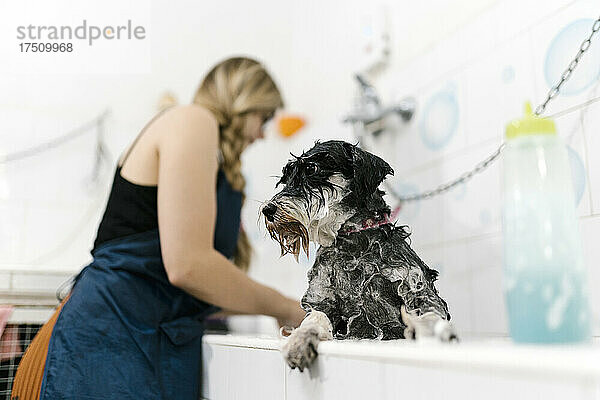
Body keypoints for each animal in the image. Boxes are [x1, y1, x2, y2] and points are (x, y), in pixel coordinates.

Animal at [260, 139, 458, 370]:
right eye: (286, 178)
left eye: (311, 169)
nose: (267, 210)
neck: (355, 242)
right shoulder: (323, 297)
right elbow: (314, 318)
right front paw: (298, 341)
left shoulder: (415, 285)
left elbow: (430, 312)